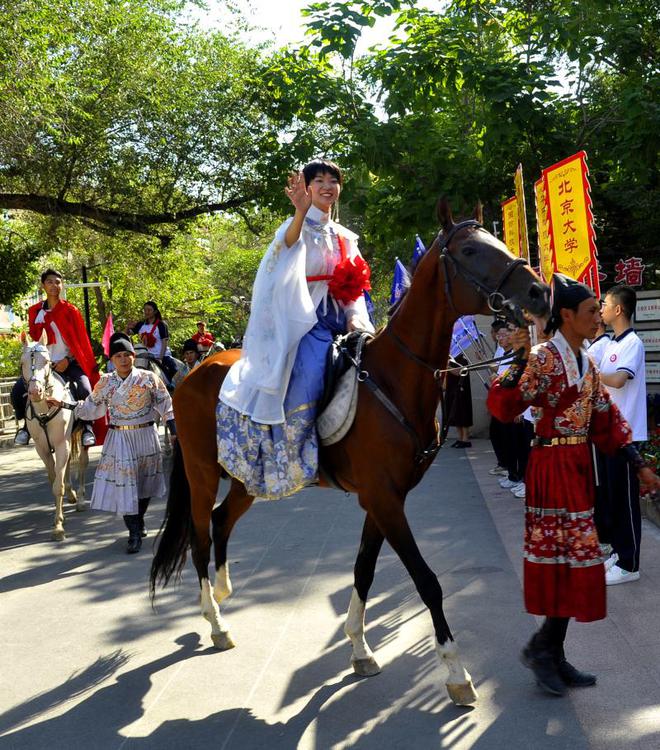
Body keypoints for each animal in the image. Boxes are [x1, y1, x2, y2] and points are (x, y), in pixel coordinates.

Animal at [20, 334, 88, 540]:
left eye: (47, 362)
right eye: (22, 363)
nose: (35, 392)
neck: (44, 408)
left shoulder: (61, 444)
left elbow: (58, 485)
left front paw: (58, 527)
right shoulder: (42, 448)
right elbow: (54, 480)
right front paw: (59, 517)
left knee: (82, 462)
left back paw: (80, 499)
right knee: (66, 469)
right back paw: (72, 495)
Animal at [152, 198, 548, 704]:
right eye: (471, 251)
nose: (539, 292)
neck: (398, 380)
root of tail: (192, 373)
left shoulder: (383, 499)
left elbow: (363, 571)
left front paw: (360, 650)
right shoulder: (384, 498)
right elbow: (427, 582)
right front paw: (456, 672)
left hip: (247, 477)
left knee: (221, 522)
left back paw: (221, 596)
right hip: (202, 471)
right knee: (200, 535)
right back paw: (216, 623)